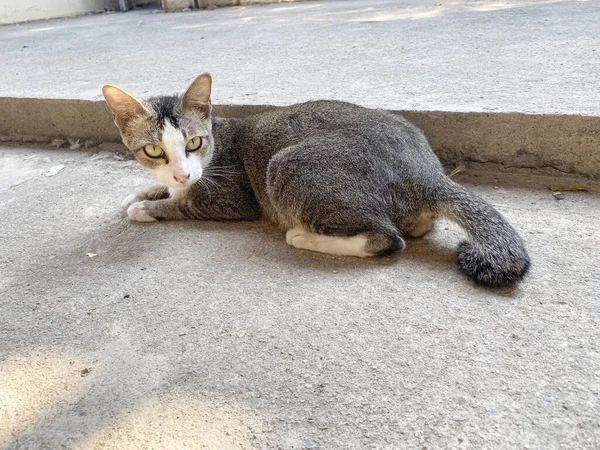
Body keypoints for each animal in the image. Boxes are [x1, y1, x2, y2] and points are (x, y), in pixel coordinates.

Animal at [102, 72, 528, 286]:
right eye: (153, 150)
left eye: (194, 142)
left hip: (286, 165)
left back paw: (303, 236)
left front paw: (147, 207)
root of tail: (428, 172)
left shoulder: (230, 198)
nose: (183, 170)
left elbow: (185, 203)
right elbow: (165, 187)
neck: (216, 144)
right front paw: (144, 192)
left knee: (388, 239)